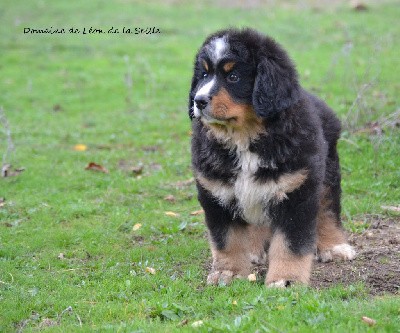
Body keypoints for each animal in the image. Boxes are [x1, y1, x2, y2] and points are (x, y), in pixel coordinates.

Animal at [188, 28, 356, 286]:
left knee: (328, 209)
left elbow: (290, 243)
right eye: (204, 74)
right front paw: (228, 272)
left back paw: (334, 245)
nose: (199, 100)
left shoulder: (296, 189)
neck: (244, 138)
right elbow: (227, 239)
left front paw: (286, 279)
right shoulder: (217, 192)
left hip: (327, 172)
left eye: (233, 77)